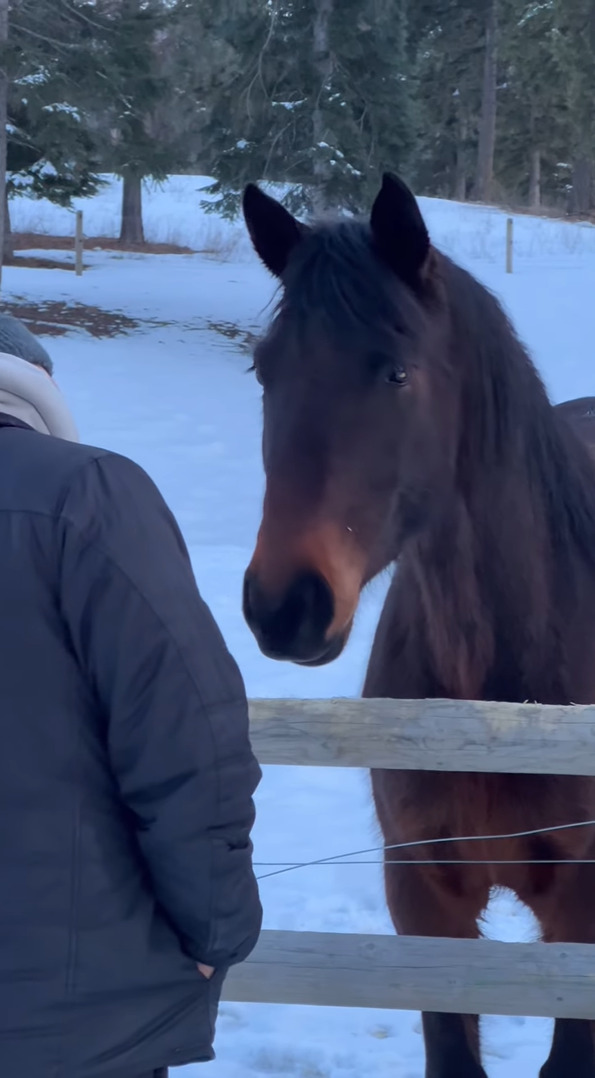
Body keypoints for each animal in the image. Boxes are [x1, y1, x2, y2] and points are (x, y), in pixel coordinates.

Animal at [241, 172, 595, 1073]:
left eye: (396, 373)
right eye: (263, 370)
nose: (285, 605)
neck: (496, 714)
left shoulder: (581, 918)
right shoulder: (424, 901)